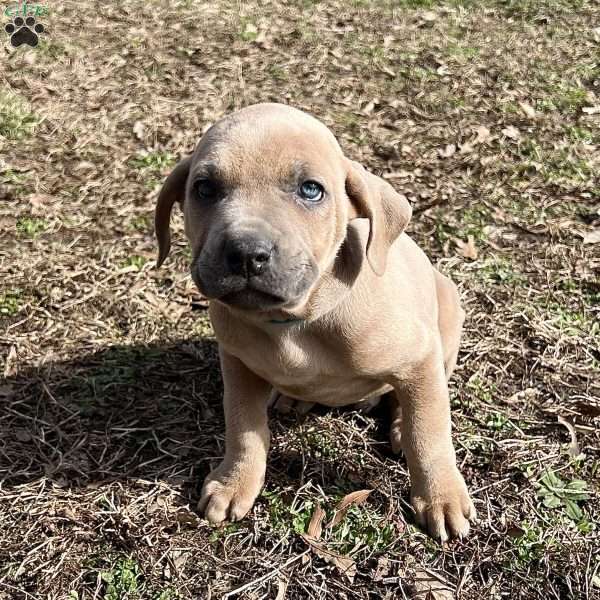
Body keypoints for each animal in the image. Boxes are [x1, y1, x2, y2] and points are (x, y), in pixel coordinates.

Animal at [156, 104, 478, 544]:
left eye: (311, 190)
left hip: (448, 315)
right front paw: (235, 481)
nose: (245, 253)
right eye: (204, 189)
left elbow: (428, 432)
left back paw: (396, 423)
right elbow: (243, 427)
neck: (296, 322)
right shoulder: (236, 364)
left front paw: (441, 496)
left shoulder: (418, 357)